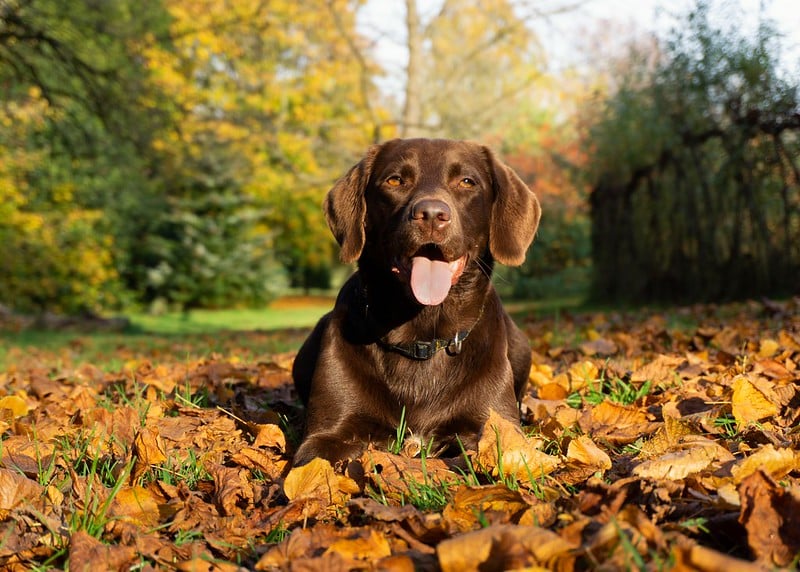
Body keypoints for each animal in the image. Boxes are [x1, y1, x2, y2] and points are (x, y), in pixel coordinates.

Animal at [290, 139, 540, 464]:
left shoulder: (494, 432)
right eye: (395, 180)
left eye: (467, 181)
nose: (432, 214)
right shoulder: (324, 436)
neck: (421, 337)